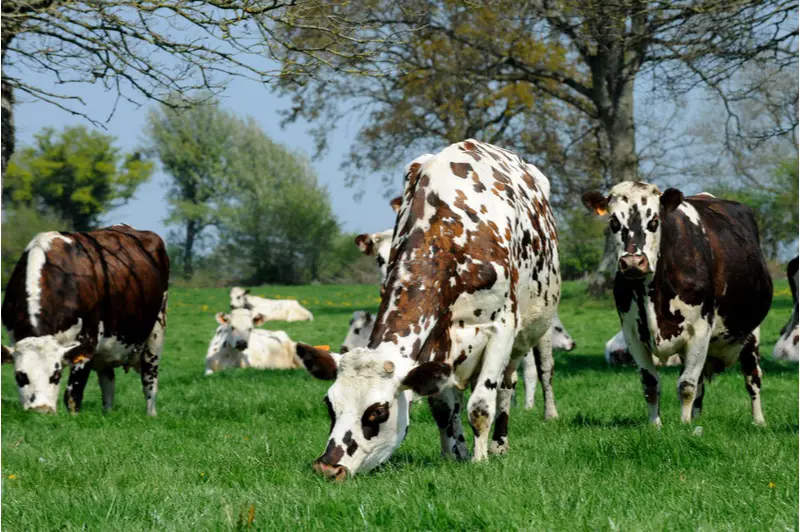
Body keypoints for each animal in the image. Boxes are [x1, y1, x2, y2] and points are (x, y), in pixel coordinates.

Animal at [1, 224, 169, 416]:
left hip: (156, 333)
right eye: (20, 376)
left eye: (56, 375)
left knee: (150, 381)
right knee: (108, 382)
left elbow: (73, 395)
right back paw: (107, 413)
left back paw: (151, 414)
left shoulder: (87, 340)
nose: (41, 410)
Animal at [296, 139, 564, 480]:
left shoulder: (501, 327)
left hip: (535, 328)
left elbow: (480, 406)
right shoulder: (439, 341)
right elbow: (443, 409)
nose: (329, 467)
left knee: (523, 378)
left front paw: (479, 460)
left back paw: (506, 440)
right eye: (330, 404)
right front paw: (454, 454)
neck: (450, 231)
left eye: (378, 411)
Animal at [580, 182, 776, 424]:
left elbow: (686, 385)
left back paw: (758, 420)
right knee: (701, 382)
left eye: (654, 221)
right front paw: (656, 425)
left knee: (752, 378)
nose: (633, 262)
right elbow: (651, 384)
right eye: (613, 221)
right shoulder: (632, 333)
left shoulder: (700, 329)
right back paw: (698, 418)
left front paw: (684, 425)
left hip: (751, 333)